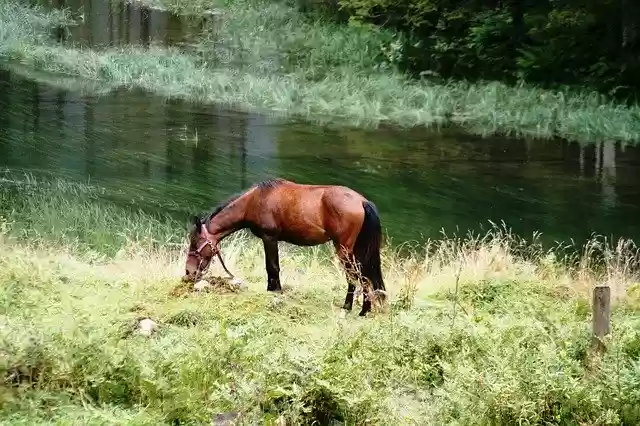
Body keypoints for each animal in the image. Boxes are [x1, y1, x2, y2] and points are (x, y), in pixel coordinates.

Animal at [182, 178, 386, 316]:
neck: (253, 201)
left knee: (355, 275)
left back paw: (350, 307)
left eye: (195, 242)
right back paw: (364, 309)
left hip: (344, 248)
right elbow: (272, 267)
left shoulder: (269, 238)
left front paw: (275, 290)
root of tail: (362, 201)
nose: (189, 272)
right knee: (364, 274)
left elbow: (272, 266)